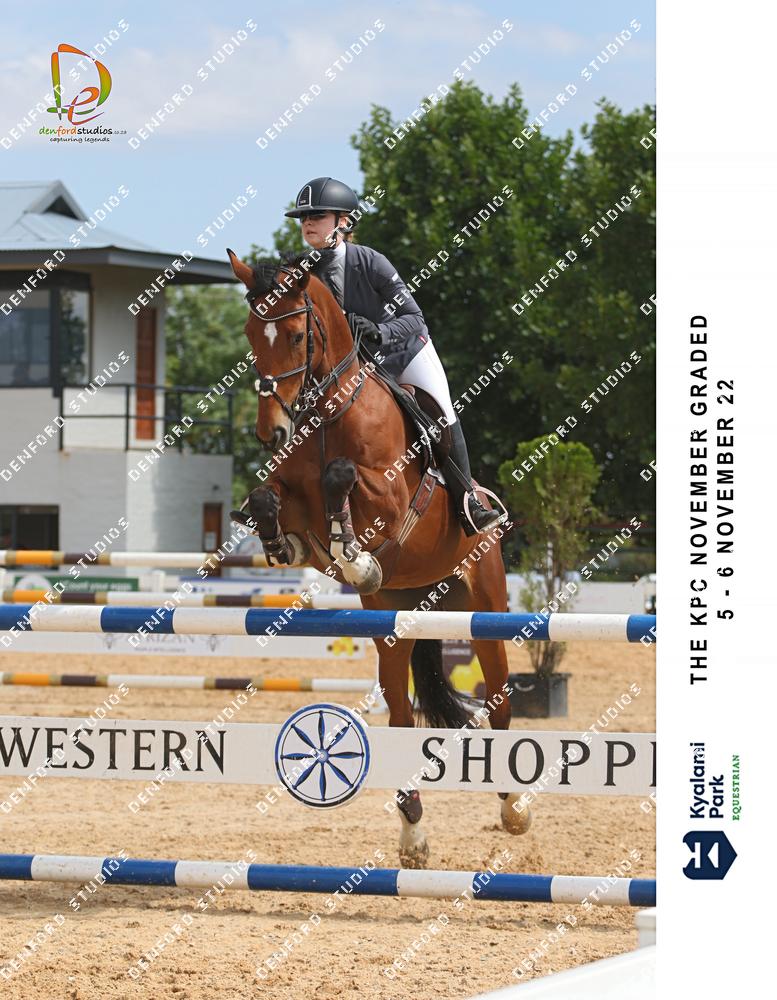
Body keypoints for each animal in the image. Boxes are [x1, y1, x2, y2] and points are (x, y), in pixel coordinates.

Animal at [227, 248, 530, 866]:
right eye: (250, 334)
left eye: (297, 335)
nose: (271, 432)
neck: (326, 412)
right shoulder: (290, 494)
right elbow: (270, 498)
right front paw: (289, 544)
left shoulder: (388, 497)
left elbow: (341, 477)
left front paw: (357, 557)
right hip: (395, 626)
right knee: (399, 713)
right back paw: (412, 832)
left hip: (485, 611)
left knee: (499, 704)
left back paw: (513, 809)